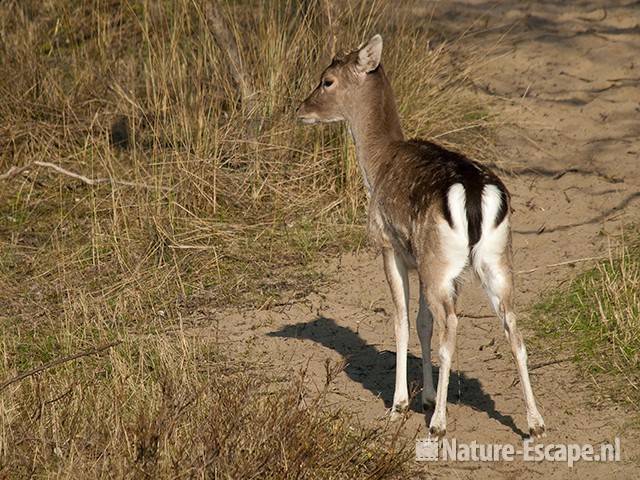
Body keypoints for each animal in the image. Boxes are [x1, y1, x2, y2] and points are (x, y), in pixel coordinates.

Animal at [298, 32, 548, 438]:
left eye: (327, 80)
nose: (300, 108)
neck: (378, 163)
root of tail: (474, 192)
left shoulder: (389, 246)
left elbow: (401, 320)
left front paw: (401, 404)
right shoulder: (424, 263)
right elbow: (422, 322)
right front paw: (427, 397)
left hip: (440, 263)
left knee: (452, 325)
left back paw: (439, 424)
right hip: (494, 259)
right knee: (512, 324)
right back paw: (536, 423)